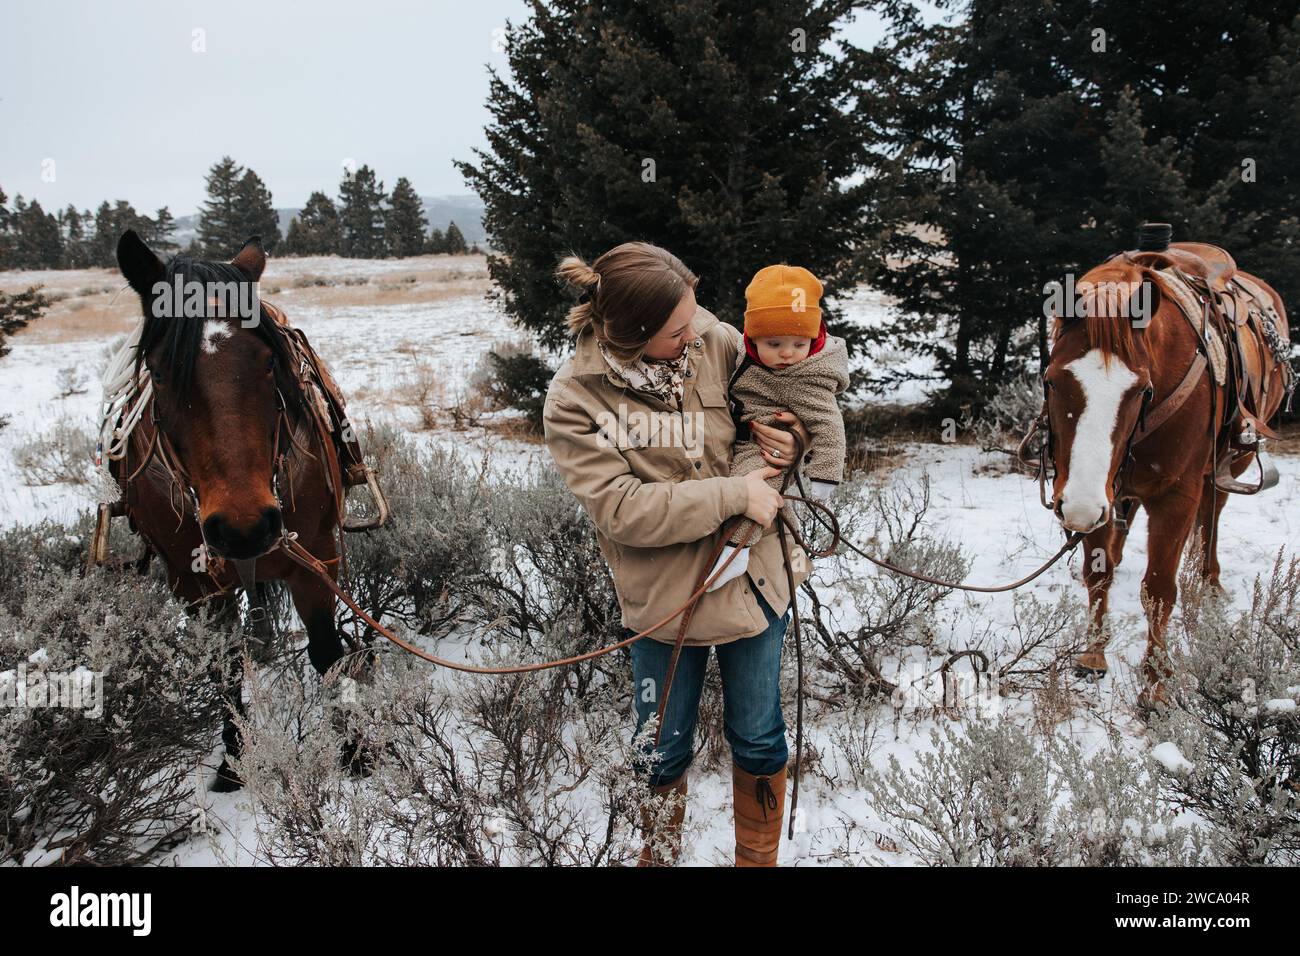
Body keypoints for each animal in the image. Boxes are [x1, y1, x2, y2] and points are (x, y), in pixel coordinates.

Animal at [112, 227, 364, 790]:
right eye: (159, 372)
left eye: (268, 361)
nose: (243, 526)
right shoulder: (192, 585)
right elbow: (222, 667)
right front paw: (233, 760)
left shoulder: (315, 556)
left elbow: (327, 652)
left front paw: (355, 749)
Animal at [1034, 243, 1289, 712]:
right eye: (1052, 380)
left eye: (1142, 390)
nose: (1078, 507)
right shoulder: (1097, 491)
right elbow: (1097, 571)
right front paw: (1093, 654)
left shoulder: (1174, 495)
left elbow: (1159, 589)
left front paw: (1154, 687)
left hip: (1230, 463)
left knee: (1212, 513)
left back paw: (1209, 583)